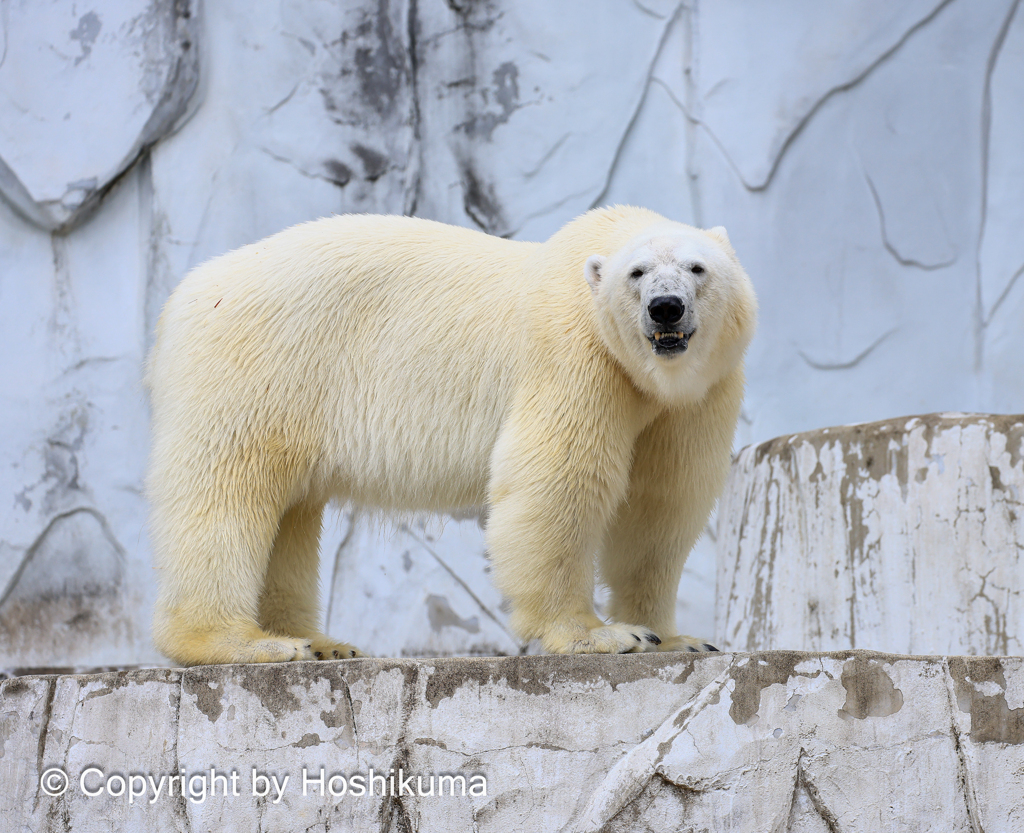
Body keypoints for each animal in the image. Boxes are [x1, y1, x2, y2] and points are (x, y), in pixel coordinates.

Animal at [146, 205, 753, 663]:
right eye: (638, 273)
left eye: (697, 267)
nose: (665, 308)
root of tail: (185, 295)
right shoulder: (576, 353)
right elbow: (559, 481)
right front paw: (599, 633)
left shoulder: (697, 393)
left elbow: (661, 503)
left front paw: (673, 636)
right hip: (256, 365)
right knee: (228, 495)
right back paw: (247, 643)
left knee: (289, 512)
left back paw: (320, 643)